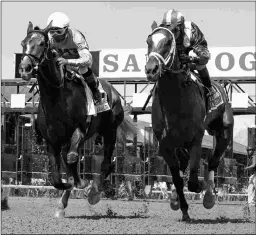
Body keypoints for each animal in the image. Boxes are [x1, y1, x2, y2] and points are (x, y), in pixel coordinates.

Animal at [18, 21, 137, 218]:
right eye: (23, 43)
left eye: (41, 44)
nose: (25, 68)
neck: (56, 96)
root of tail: (114, 91)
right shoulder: (52, 141)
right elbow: (57, 176)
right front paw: (69, 187)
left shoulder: (79, 131)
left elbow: (73, 159)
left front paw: (82, 184)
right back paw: (63, 204)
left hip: (109, 131)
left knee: (105, 164)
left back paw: (94, 193)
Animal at [145, 21, 233, 220]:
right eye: (148, 41)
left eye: (168, 42)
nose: (151, 69)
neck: (175, 99)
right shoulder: (165, 144)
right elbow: (177, 178)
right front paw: (182, 207)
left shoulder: (196, 140)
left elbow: (193, 178)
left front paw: (199, 190)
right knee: (184, 165)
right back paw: (175, 199)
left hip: (223, 132)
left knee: (213, 162)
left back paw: (209, 198)